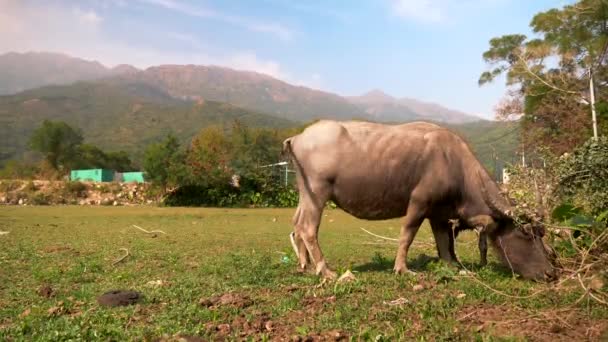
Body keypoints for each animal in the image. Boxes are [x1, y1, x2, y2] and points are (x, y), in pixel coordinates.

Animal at [282, 119, 560, 282]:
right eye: (525, 233)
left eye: (542, 233)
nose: (550, 273)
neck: (454, 164)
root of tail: (298, 137)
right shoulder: (419, 203)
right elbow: (408, 234)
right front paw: (402, 268)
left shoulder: (439, 214)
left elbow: (444, 242)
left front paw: (452, 266)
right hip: (318, 192)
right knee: (308, 228)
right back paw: (325, 270)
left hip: (305, 193)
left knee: (296, 224)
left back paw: (305, 265)